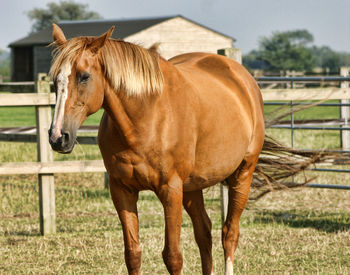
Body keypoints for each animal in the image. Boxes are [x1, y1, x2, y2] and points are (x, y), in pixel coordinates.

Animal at [47, 24, 264, 274]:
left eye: (84, 77)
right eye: (54, 80)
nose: (58, 137)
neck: (144, 118)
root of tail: (242, 77)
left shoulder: (170, 189)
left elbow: (173, 256)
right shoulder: (122, 190)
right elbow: (132, 254)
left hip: (243, 174)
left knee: (229, 234)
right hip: (192, 187)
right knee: (204, 232)